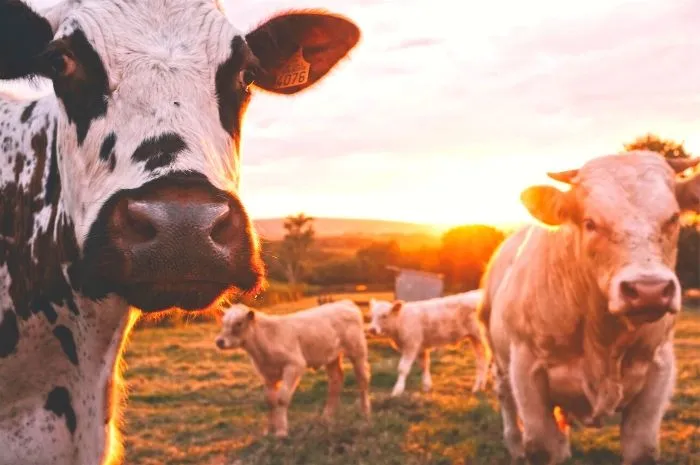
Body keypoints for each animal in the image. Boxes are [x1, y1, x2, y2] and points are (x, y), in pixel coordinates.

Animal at [215, 300, 372, 436]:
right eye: (223, 323)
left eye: (239, 323)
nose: (219, 341)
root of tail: (345, 303)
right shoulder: (267, 374)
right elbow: (270, 401)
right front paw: (268, 430)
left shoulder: (294, 365)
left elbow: (281, 398)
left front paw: (281, 431)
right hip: (331, 356)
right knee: (336, 380)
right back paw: (326, 417)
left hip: (357, 351)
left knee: (362, 378)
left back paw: (365, 412)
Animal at [478, 152, 700, 464]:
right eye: (590, 222)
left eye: (673, 218)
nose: (649, 291)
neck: (603, 339)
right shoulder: (526, 371)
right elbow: (542, 446)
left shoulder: (658, 369)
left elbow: (641, 448)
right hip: (497, 356)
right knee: (505, 398)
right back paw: (515, 445)